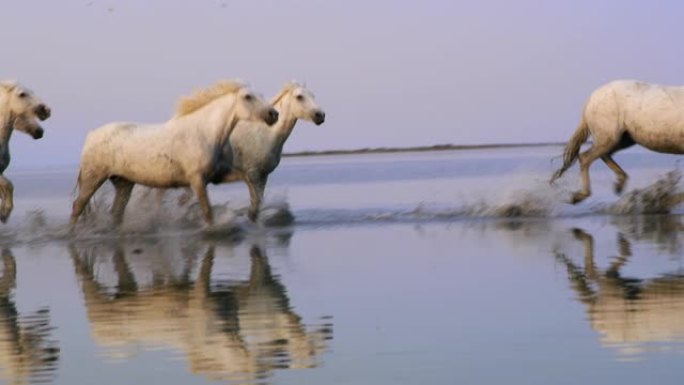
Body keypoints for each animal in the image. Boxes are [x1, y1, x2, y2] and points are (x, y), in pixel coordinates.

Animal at [0, 82, 50, 224]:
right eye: (22, 94)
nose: (45, 110)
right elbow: (9, 185)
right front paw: (4, 213)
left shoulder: (1, 172)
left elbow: (7, 188)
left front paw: (3, 213)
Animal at [71, 79, 280, 226]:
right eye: (248, 97)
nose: (274, 114)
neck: (204, 133)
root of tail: (91, 136)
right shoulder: (197, 180)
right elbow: (207, 212)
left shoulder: (217, 176)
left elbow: (248, 182)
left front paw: (253, 214)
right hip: (93, 178)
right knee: (77, 206)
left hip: (123, 183)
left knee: (115, 213)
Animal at [176, 81, 326, 220]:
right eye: (299, 97)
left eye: (313, 95)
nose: (320, 115)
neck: (266, 134)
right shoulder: (253, 175)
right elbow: (255, 207)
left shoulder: (262, 176)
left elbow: (256, 207)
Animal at [552, 79, 684, 202]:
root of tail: (591, 98)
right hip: (610, 136)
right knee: (586, 157)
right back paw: (580, 196)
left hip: (624, 139)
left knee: (603, 155)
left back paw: (619, 184)